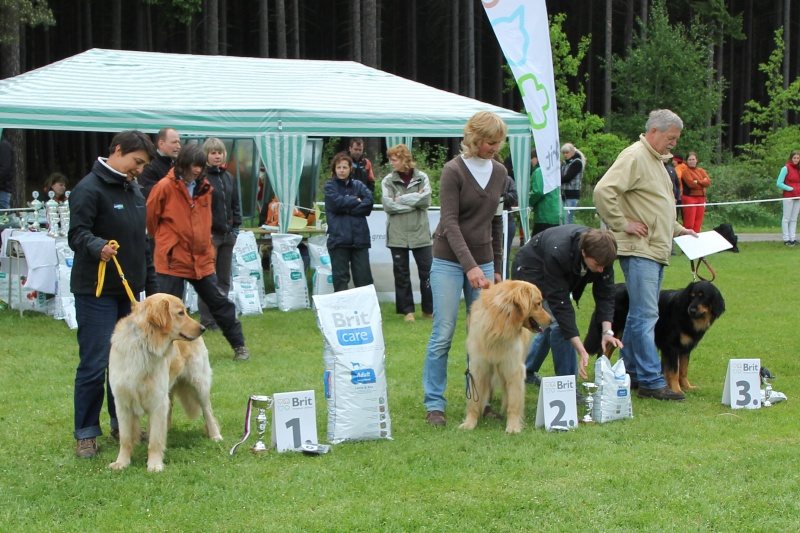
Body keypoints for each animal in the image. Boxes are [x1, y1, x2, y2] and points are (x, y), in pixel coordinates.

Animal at [584, 280, 728, 392]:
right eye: (692, 296)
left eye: (703, 297)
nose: (691, 310)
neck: (687, 317)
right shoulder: (672, 347)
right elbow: (674, 372)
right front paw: (677, 390)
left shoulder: (685, 349)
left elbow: (683, 370)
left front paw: (687, 387)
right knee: (602, 351)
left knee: (605, 352)